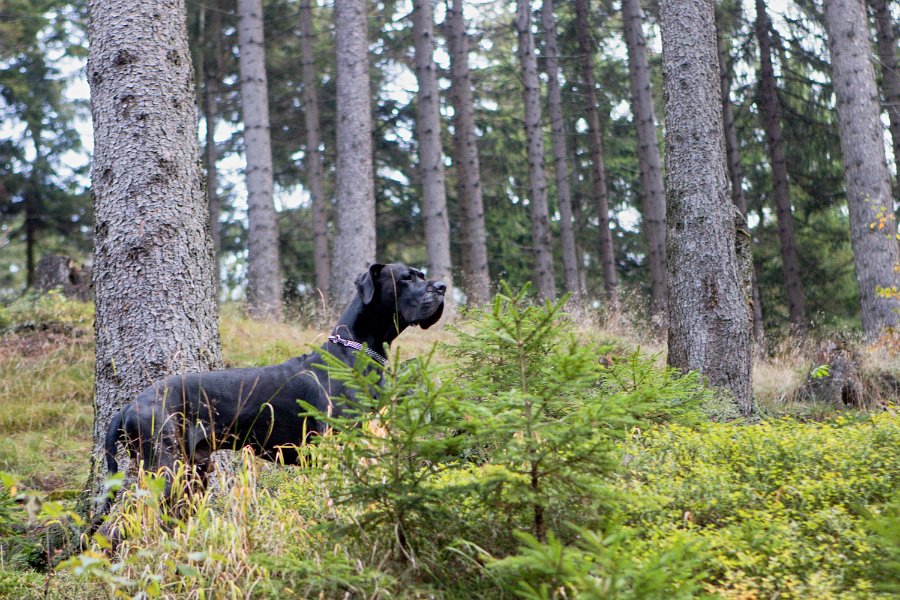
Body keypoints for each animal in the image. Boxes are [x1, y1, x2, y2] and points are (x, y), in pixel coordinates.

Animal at [100, 264, 444, 500]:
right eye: (406, 278)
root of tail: (129, 406)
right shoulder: (337, 445)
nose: (441, 287)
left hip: (193, 471)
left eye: (421, 274)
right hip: (164, 465)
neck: (355, 353)